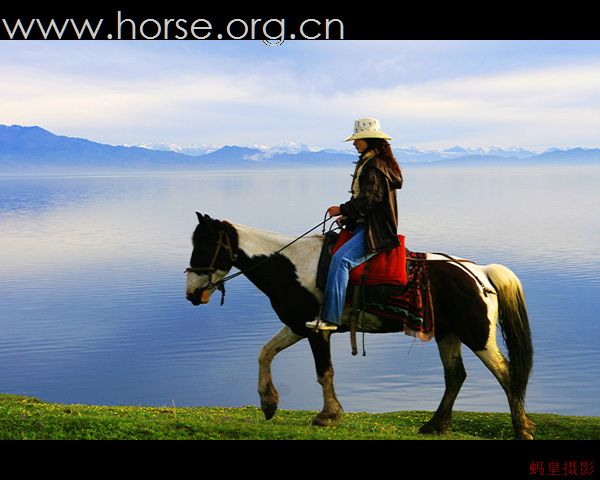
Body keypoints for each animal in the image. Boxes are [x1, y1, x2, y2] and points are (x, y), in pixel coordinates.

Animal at [184, 213, 536, 438]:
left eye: (203, 245)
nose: (191, 293)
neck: (291, 265)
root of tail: (481, 273)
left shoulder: (315, 329)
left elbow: (324, 372)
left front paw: (327, 415)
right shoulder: (298, 325)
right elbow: (265, 353)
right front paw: (268, 403)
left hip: (478, 336)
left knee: (507, 374)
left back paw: (522, 429)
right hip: (448, 333)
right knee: (455, 376)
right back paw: (434, 426)